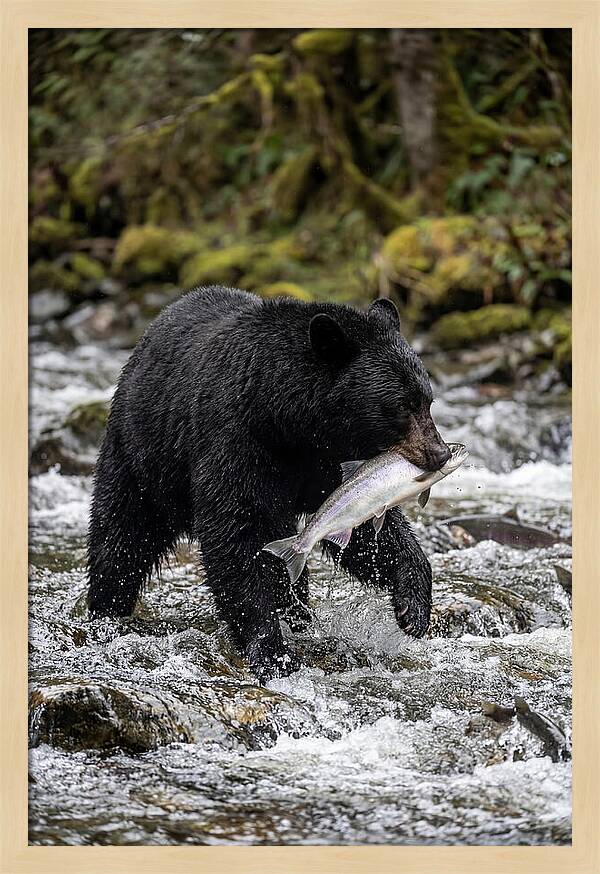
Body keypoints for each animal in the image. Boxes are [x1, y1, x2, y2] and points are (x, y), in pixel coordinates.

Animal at [88, 286, 450, 682]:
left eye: (428, 401)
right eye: (401, 406)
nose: (441, 453)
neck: (288, 420)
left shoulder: (329, 463)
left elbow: (363, 525)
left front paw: (413, 607)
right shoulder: (238, 441)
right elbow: (235, 534)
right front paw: (272, 651)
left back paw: (298, 614)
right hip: (142, 455)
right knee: (121, 535)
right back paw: (106, 609)